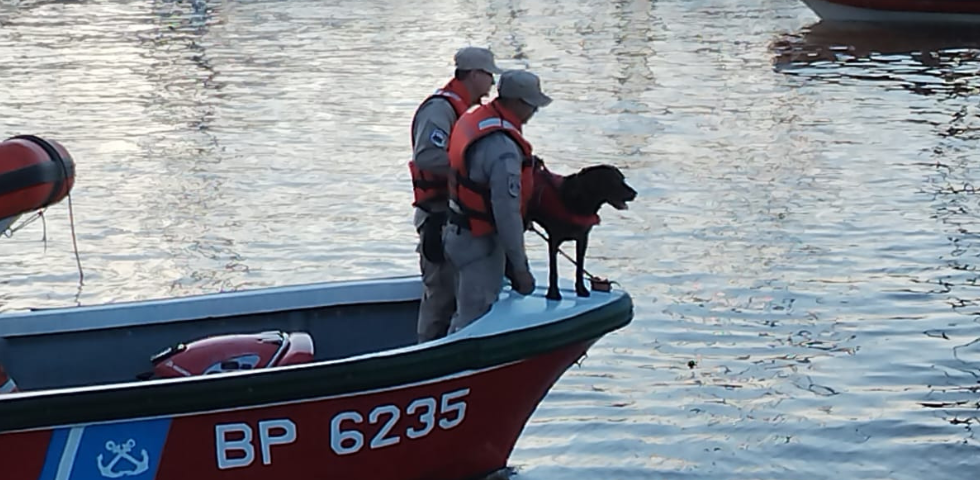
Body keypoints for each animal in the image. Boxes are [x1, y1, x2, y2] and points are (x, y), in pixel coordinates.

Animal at [516, 158, 640, 300]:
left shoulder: (582, 239)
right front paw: (553, 293)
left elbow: (579, 267)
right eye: (614, 181)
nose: (634, 193)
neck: (578, 200)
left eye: (623, 179)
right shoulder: (554, 239)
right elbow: (554, 270)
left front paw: (581, 290)